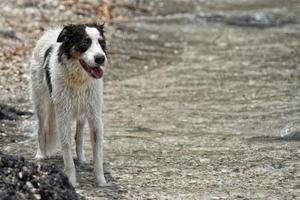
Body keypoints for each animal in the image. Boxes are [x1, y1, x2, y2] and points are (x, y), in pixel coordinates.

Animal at [29, 23, 108, 186]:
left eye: (101, 42)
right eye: (85, 42)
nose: (100, 58)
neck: (79, 79)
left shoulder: (94, 115)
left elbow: (97, 153)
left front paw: (101, 181)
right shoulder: (63, 116)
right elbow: (66, 149)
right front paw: (71, 181)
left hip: (82, 113)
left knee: (79, 136)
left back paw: (82, 159)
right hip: (41, 103)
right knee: (41, 129)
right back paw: (40, 154)